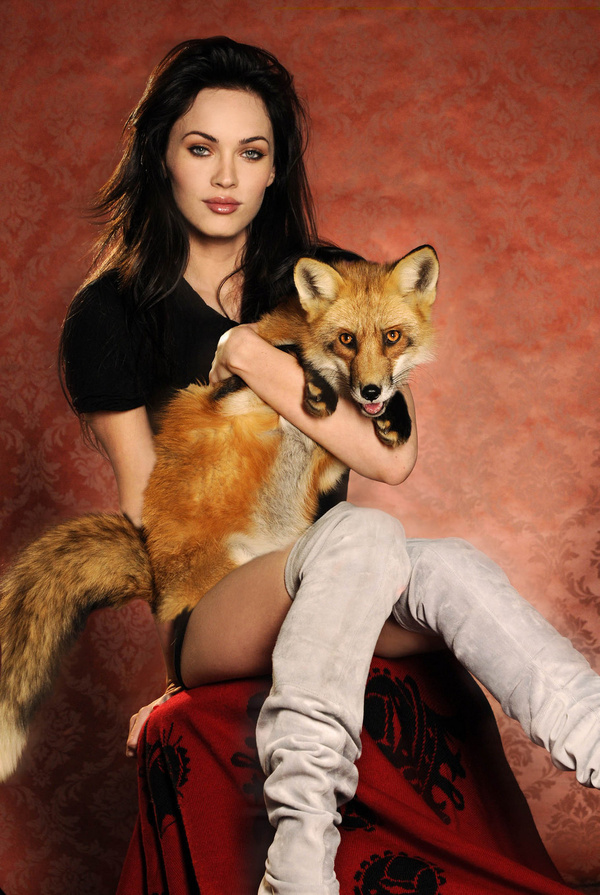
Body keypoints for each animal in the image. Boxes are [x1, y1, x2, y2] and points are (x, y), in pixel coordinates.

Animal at [0, 244, 438, 782]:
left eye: (392, 338)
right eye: (346, 340)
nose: (371, 391)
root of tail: (155, 579)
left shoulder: (334, 462)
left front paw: (394, 417)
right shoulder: (226, 395)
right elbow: (287, 355)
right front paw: (317, 386)